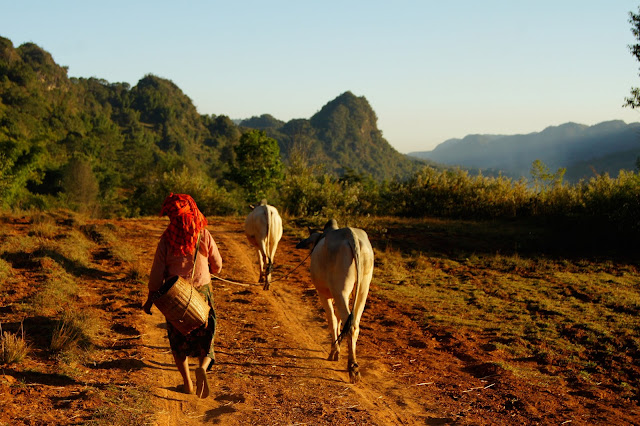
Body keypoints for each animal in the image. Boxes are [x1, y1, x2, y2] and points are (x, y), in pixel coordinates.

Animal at [296, 220, 372, 382]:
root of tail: (351, 234)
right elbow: (338, 320)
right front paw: (337, 350)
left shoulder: (324, 294)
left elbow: (332, 320)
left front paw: (334, 351)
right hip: (363, 287)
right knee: (354, 324)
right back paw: (354, 365)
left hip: (340, 290)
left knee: (348, 324)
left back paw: (352, 368)